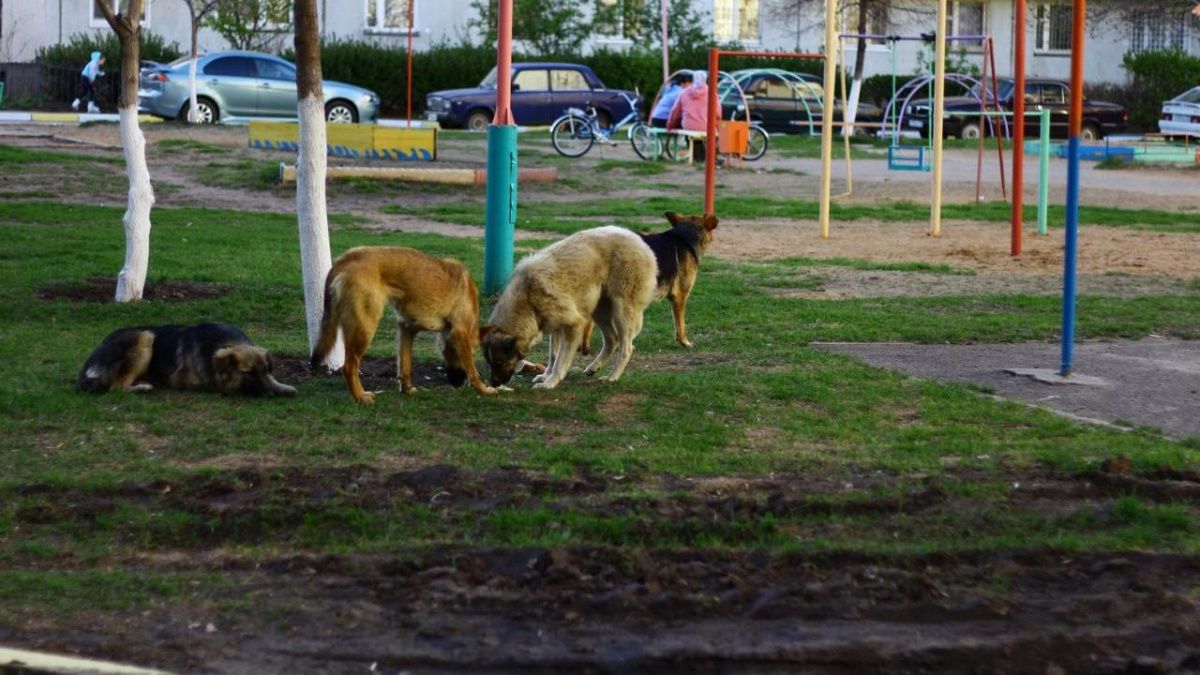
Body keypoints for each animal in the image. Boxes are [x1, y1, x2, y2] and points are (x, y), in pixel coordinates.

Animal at [76, 319, 296, 393]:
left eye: (266, 371)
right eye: (248, 373)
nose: (270, 393)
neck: (226, 342)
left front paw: (283, 387)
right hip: (145, 336)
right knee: (116, 387)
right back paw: (142, 387)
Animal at [312, 247, 499, 403]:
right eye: (473, 353)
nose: (457, 384)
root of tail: (347, 258)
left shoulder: (407, 329)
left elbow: (405, 365)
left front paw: (407, 390)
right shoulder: (460, 333)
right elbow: (473, 371)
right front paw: (484, 389)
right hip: (364, 328)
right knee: (349, 367)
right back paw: (360, 397)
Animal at [477, 224, 657, 389]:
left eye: (499, 363)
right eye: (489, 363)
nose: (493, 384)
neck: (527, 299)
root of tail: (638, 239)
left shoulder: (574, 325)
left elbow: (560, 361)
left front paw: (549, 383)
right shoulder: (556, 325)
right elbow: (553, 355)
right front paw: (545, 376)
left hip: (621, 312)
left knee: (626, 348)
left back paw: (612, 377)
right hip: (598, 310)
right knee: (612, 339)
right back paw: (594, 367)